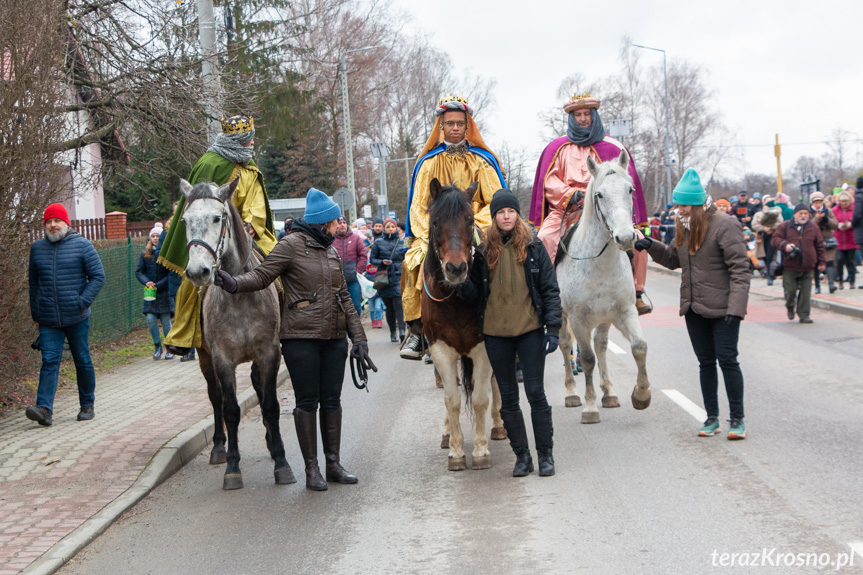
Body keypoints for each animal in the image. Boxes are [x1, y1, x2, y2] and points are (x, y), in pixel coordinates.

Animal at [181, 180, 296, 490]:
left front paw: (281, 461)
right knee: (215, 398)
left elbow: (270, 405)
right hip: (204, 358)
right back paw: (219, 447)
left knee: (257, 386)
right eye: (184, 220)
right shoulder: (222, 359)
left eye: (217, 218)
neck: (240, 293)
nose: (198, 272)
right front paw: (232, 467)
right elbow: (231, 409)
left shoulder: (269, 353)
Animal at [424, 180, 510, 472]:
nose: (456, 268)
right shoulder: (440, 350)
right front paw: (456, 451)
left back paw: (499, 425)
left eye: (470, 220)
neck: (456, 298)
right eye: (435, 221)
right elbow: (452, 400)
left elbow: (481, 398)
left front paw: (481, 450)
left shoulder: (483, 348)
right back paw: (447, 432)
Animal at [556, 151, 652, 426]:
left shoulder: (624, 312)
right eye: (599, 194)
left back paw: (609, 393)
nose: (626, 238)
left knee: (601, 345)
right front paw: (589, 407)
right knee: (565, 344)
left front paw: (641, 395)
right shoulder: (578, 318)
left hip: (604, 319)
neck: (599, 264)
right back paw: (571, 393)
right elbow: (587, 359)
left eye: (630, 190)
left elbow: (639, 347)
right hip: (563, 316)